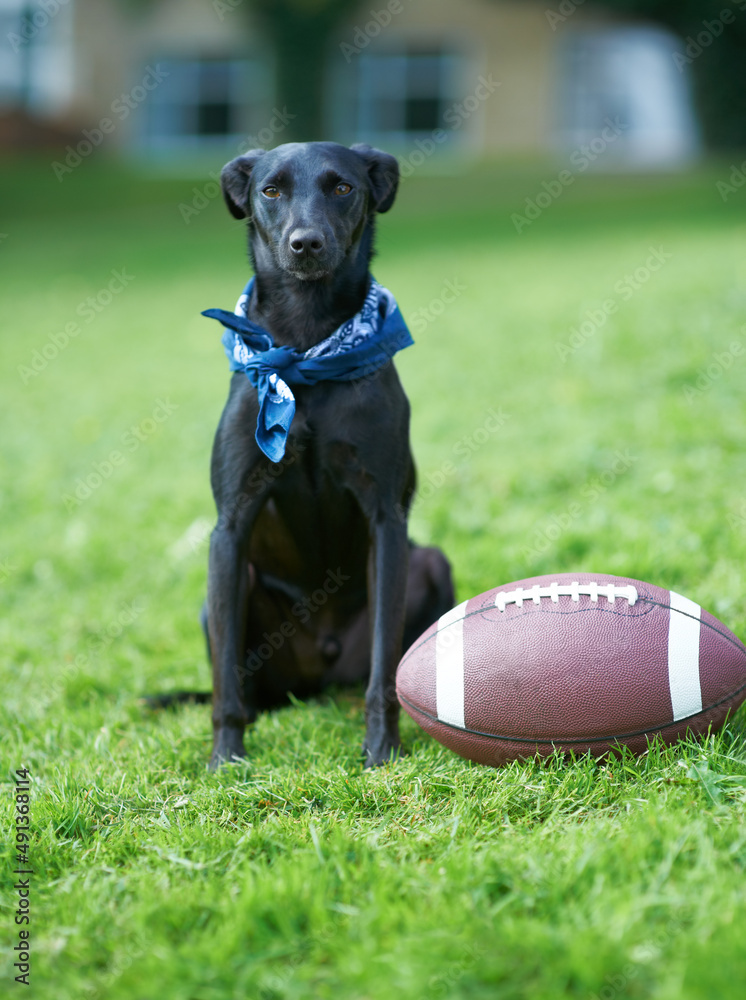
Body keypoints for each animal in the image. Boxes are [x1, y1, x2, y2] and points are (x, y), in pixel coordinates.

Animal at [201, 141, 450, 768]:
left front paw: (381, 751)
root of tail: (323, 665)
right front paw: (225, 759)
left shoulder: (387, 518)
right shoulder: (229, 527)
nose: (306, 243)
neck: (308, 347)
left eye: (342, 188)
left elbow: (387, 664)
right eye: (270, 190)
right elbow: (224, 682)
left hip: (430, 561)